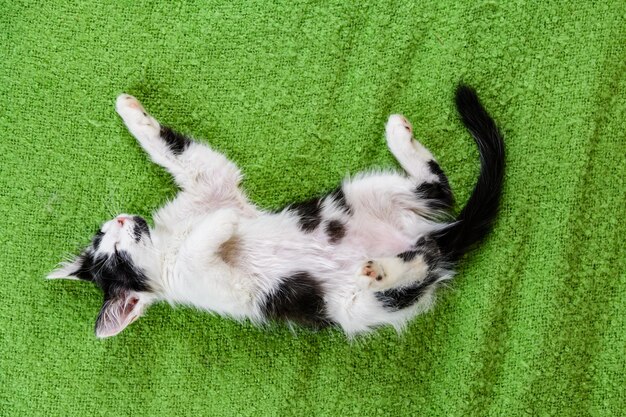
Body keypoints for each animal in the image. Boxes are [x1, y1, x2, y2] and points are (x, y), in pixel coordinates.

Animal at [51, 85, 504, 338]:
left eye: (106, 238)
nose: (121, 220)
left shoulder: (214, 184)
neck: (168, 239)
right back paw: (381, 269)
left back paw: (398, 134)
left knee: (436, 191)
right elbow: (200, 245)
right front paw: (223, 224)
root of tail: (424, 237)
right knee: (422, 260)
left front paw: (129, 110)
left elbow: (178, 152)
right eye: (114, 255)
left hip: (362, 194)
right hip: (354, 307)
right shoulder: (207, 281)